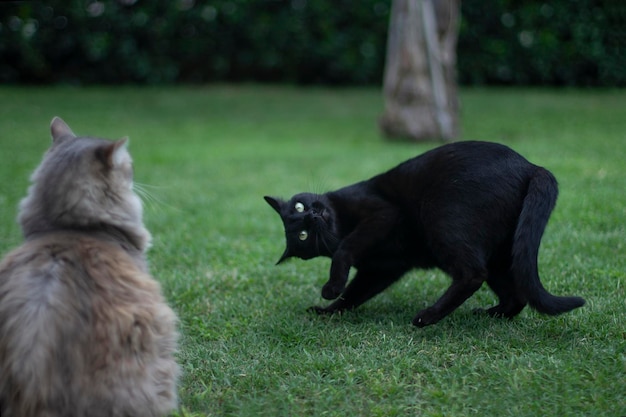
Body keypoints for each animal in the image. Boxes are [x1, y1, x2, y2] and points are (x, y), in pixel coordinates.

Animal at [264, 140, 584, 324]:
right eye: (302, 235)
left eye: (300, 205)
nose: (313, 215)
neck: (339, 225)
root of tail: (531, 166)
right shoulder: (381, 269)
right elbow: (355, 294)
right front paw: (327, 311)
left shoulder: (381, 213)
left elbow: (344, 250)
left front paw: (330, 288)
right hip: (501, 253)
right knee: (513, 293)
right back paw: (489, 314)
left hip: (440, 217)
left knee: (473, 274)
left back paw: (426, 318)